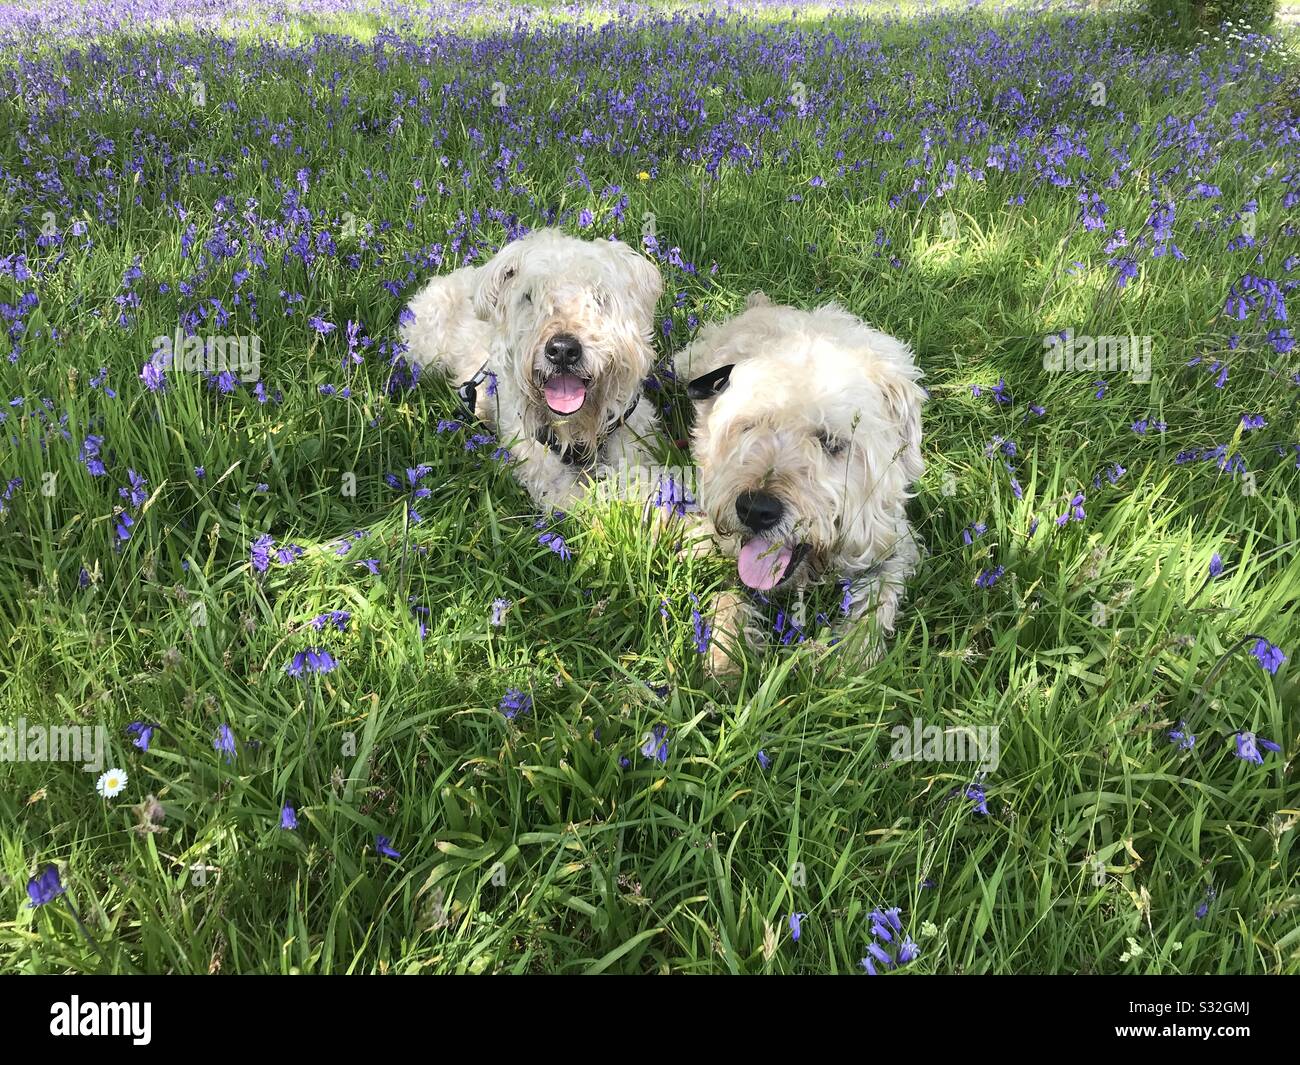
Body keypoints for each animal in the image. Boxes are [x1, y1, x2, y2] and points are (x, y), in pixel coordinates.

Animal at [400, 230, 665, 512]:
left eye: (598, 296)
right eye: (529, 296)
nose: (562, 350)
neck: (578, 430)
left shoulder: (635, 438)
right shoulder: (546, 471)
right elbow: (585, 505)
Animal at [676, 291, 930, 676]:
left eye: (831, 441)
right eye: (749, 426)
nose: (755, 509)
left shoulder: (893, 545)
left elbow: (875, 600)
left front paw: (850, 661)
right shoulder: (716, 542)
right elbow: (728, 592)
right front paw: (725, 657)